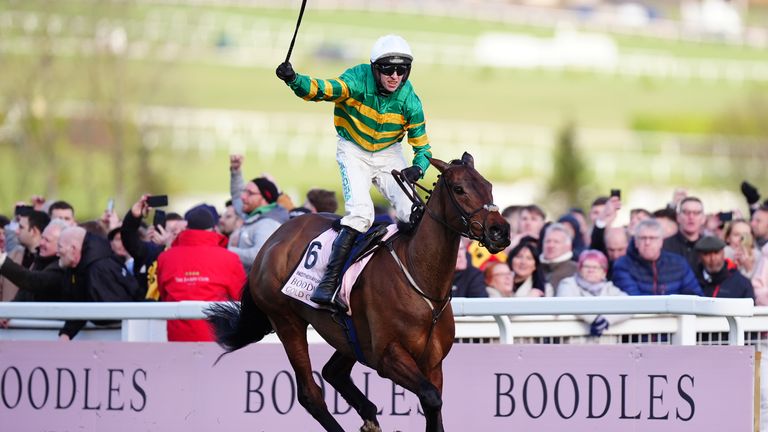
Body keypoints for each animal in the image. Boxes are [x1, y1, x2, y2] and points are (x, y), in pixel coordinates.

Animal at [207, 153, 512, 432]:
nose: (500, 230)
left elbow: (434, 406)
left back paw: (369, 415)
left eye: (488, 186)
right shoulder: (388, 356)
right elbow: (431, 397)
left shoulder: (433, 362)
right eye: (459, 189)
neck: (420, 277)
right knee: (310, 394)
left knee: (333, 372)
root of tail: (273, 239)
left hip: (349, 335)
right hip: (287, 321)